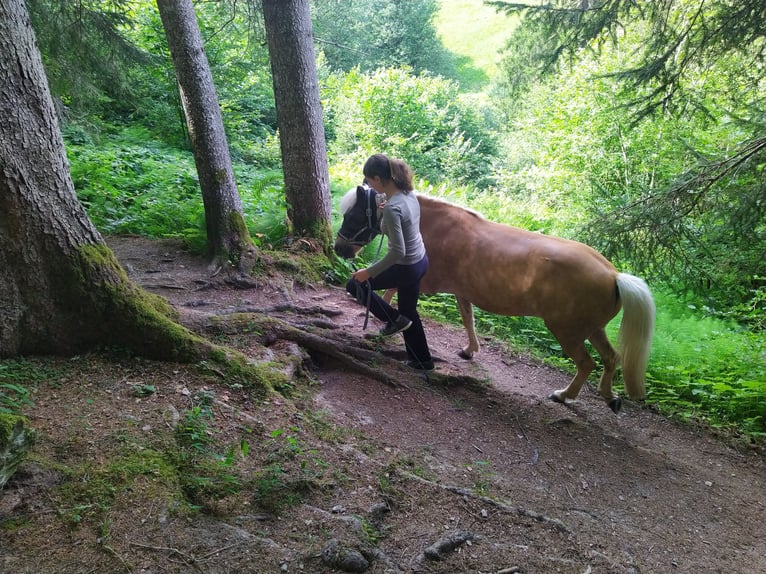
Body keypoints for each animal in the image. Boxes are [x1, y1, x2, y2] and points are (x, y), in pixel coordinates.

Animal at [334, 186, 656, 414]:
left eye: (354, 215)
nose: (340, 249)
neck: (426, 224)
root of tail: (614, 275)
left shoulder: (421, 280)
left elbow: (393, 295)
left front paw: (385, 328)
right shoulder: (461, 291)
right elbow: (467, 318)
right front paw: (469, 350)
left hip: (568, 331)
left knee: (587, 363)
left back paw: (564, 396)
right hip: (593, 329)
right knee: (611, 358)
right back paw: (609, 397)